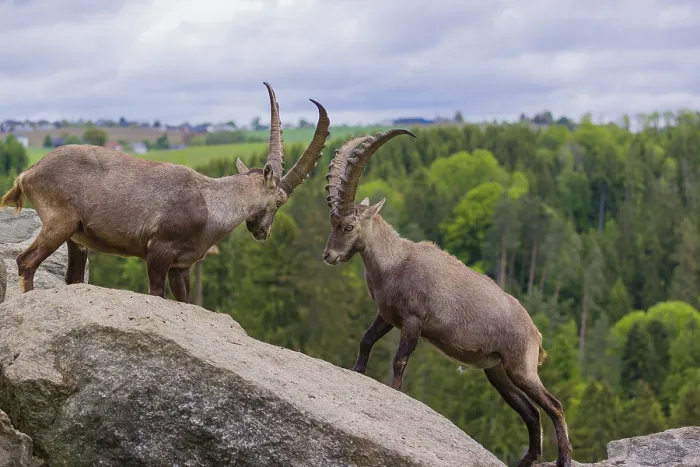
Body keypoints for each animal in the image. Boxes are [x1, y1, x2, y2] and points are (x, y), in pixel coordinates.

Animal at [0, 82, 330, 303]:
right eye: (280, 200)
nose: (264, 232)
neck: (211, 203)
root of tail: (28, 173)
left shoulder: (181, 267)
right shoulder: (158, 252)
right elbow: (156, 293)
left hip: (76, 239)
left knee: (72, 277)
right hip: (60, 222)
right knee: (25, 262)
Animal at [321, 132, 572, 467]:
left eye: (348, 226)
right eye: (332, 224)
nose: (329, 255)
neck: (394, 262)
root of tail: (535, 333)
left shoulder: (414, 321)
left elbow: (399, 361)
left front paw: (394, 394)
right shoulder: (387, 316)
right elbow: (365, 340)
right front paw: (356, 373)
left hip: (521, 367)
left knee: (554, 405)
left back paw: (564, 459)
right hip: (498, 372)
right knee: (531, 413)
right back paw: (527, 461)